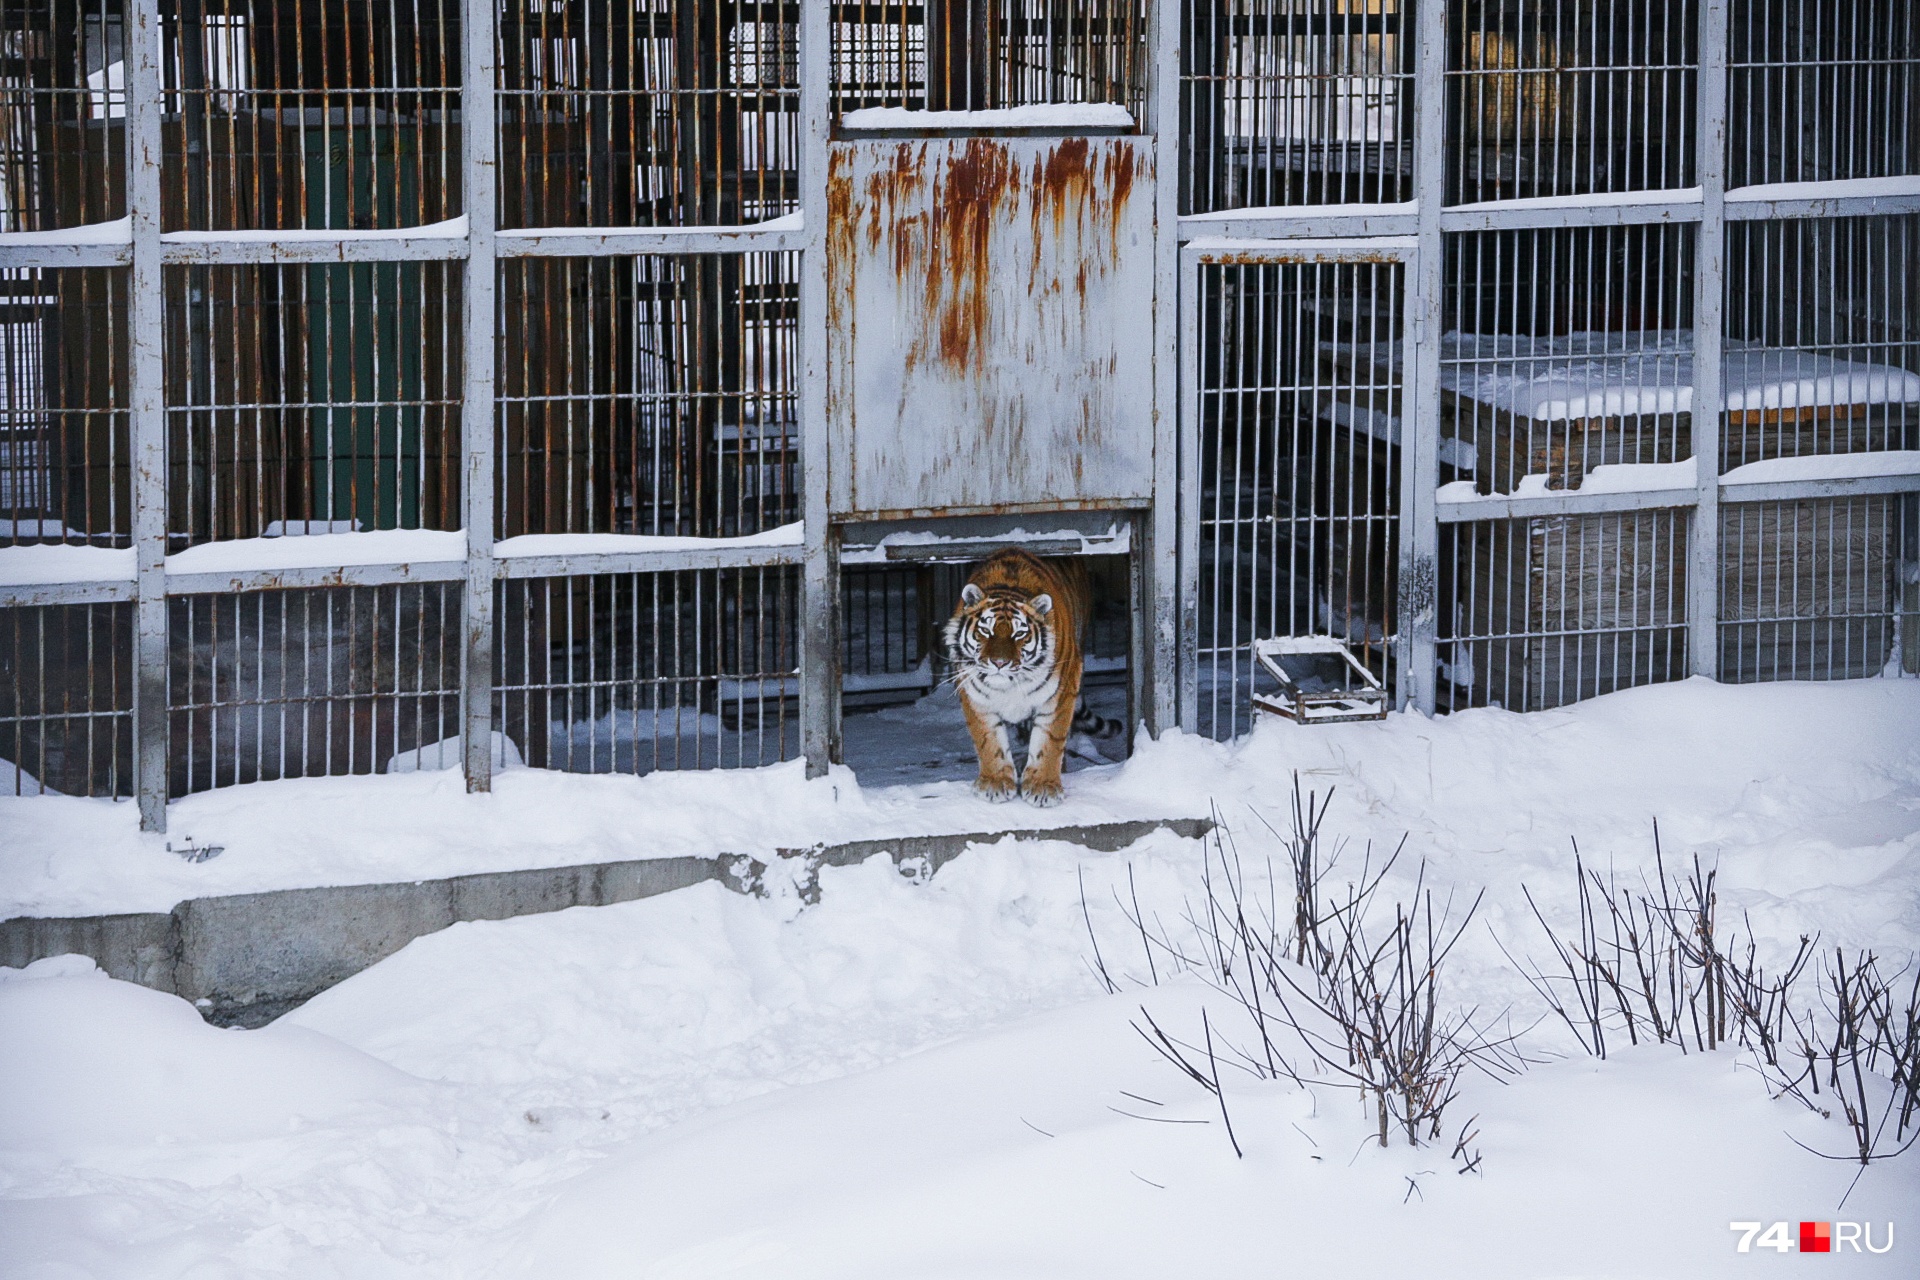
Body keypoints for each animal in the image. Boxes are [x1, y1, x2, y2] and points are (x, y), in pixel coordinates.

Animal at [940, 548, 1121, 805]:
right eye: (985, 630)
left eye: (1019, 634)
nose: (999, 663)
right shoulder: (975, 697)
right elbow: (988, 740)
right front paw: (995, 784)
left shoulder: (1061, 692)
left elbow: (1050, 740)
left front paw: (1043, 787)